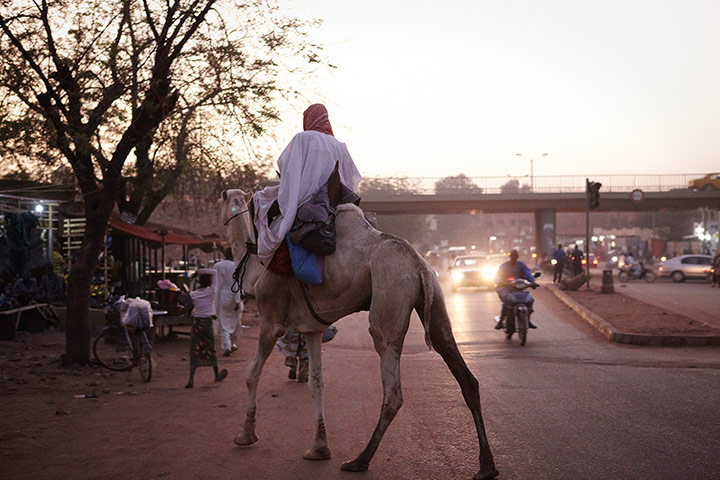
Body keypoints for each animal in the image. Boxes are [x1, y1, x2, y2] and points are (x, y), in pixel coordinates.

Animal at [222, 188, 498, 480]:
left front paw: (246, 435)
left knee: (392, 386)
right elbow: (317, 382)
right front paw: (319, 448)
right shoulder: (312, 328)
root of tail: (418, 264)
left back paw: (359, 460)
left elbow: (252, 374)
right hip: (435, 302)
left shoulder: (271, 320)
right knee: (462, 370)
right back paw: (486, 466)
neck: (257, 264)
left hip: (389, 297)